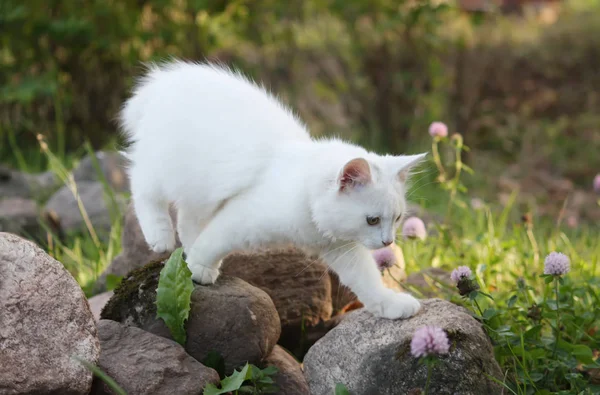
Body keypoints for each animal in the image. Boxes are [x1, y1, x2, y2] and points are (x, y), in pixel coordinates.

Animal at [119, 61, 424, 322]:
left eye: (397, 219)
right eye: (372, 220)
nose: (387, 242)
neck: (304, 193)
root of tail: (164, 81)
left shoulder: (342, 249)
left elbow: (368, 282)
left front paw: (391, 305)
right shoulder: (241, 220)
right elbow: (213, 242)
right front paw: (199, 268)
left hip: (199, 189)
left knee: (187, 220)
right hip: (166, 168)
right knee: (141, 185)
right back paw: (160, 236)